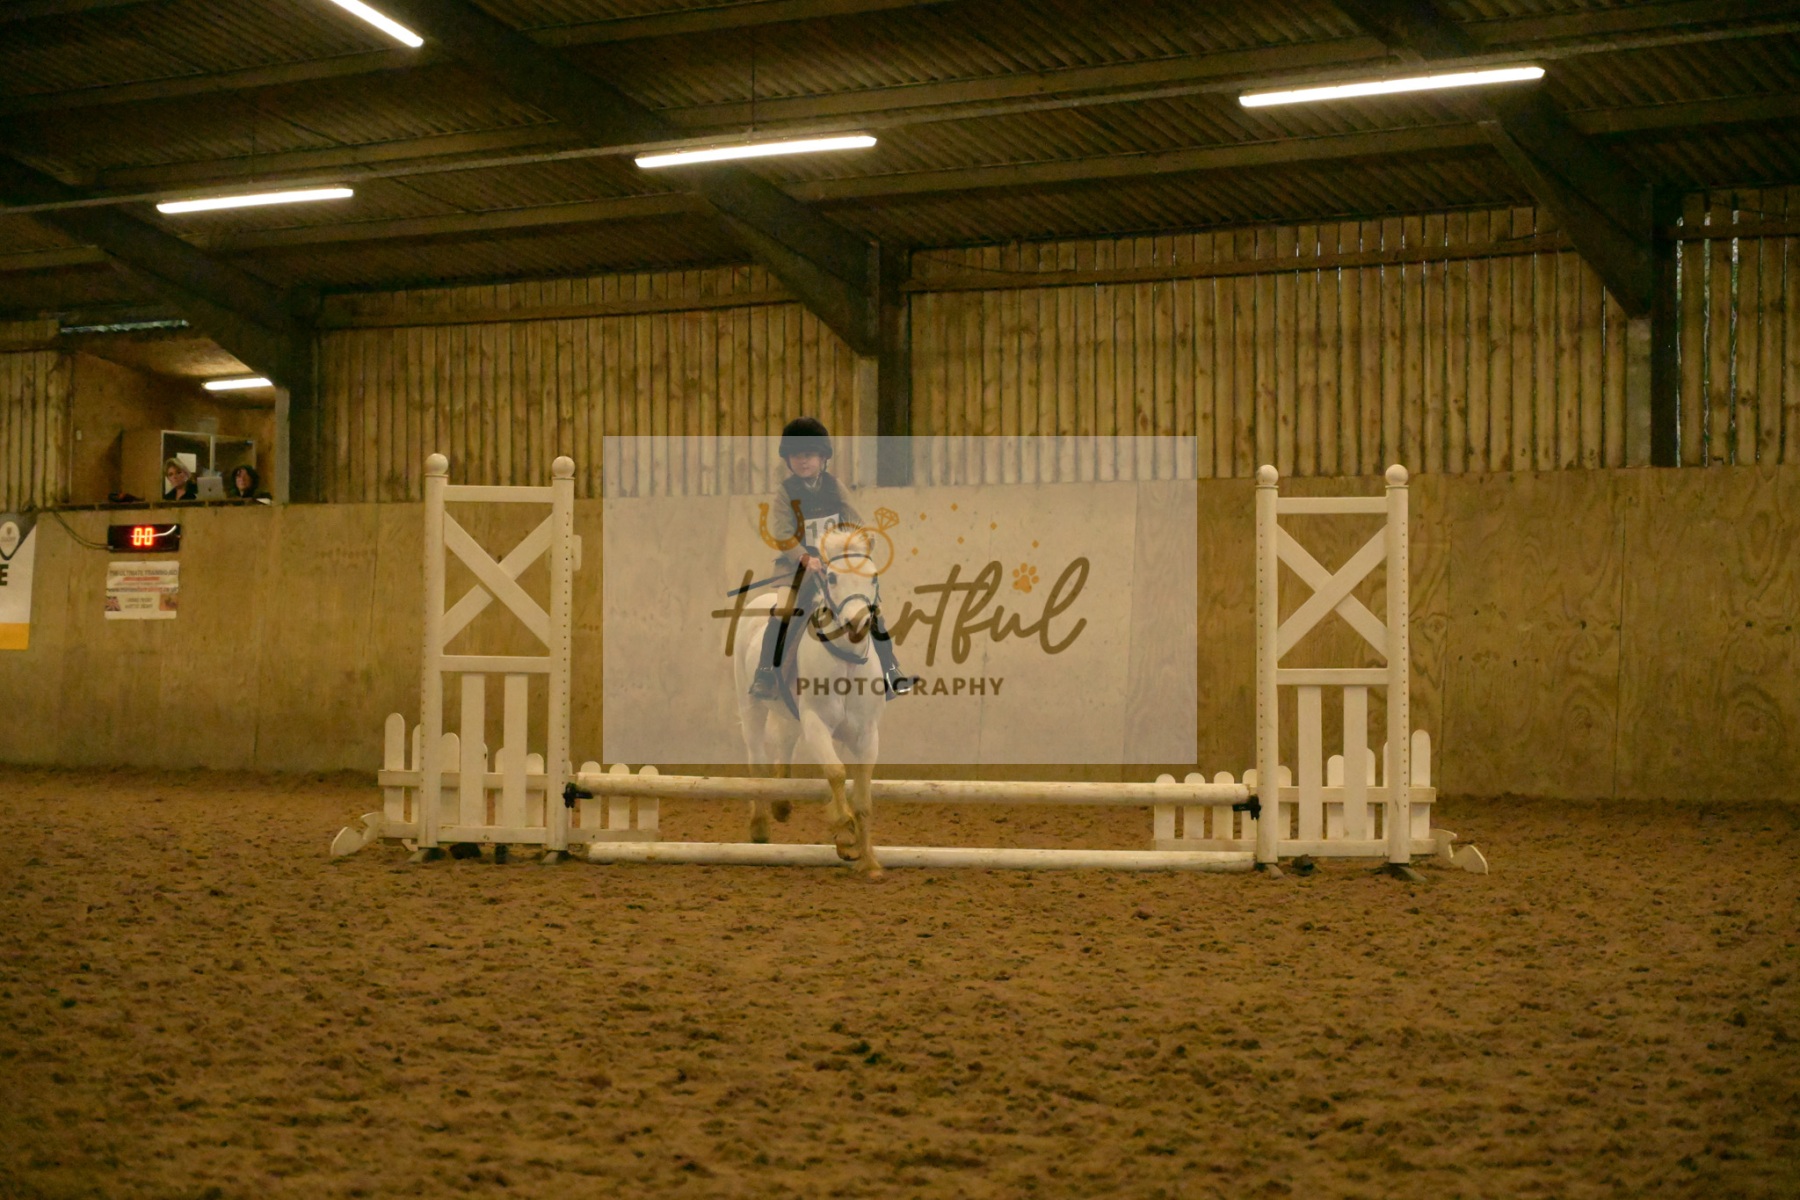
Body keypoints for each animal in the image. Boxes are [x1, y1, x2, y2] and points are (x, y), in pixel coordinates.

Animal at [732, 524, 887, 877]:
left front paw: (868, 860)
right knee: (757, 759)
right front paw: (845, 834)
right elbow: (836, 772)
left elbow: (863, 799)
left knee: (783, 747)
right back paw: (760, 825)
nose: (858, 624)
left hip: (789, 717)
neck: (845, 660)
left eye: (873, 577)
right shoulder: (817, 723)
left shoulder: (867, 734)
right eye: (831, 578)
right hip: (752, 707)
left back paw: (782, 804)